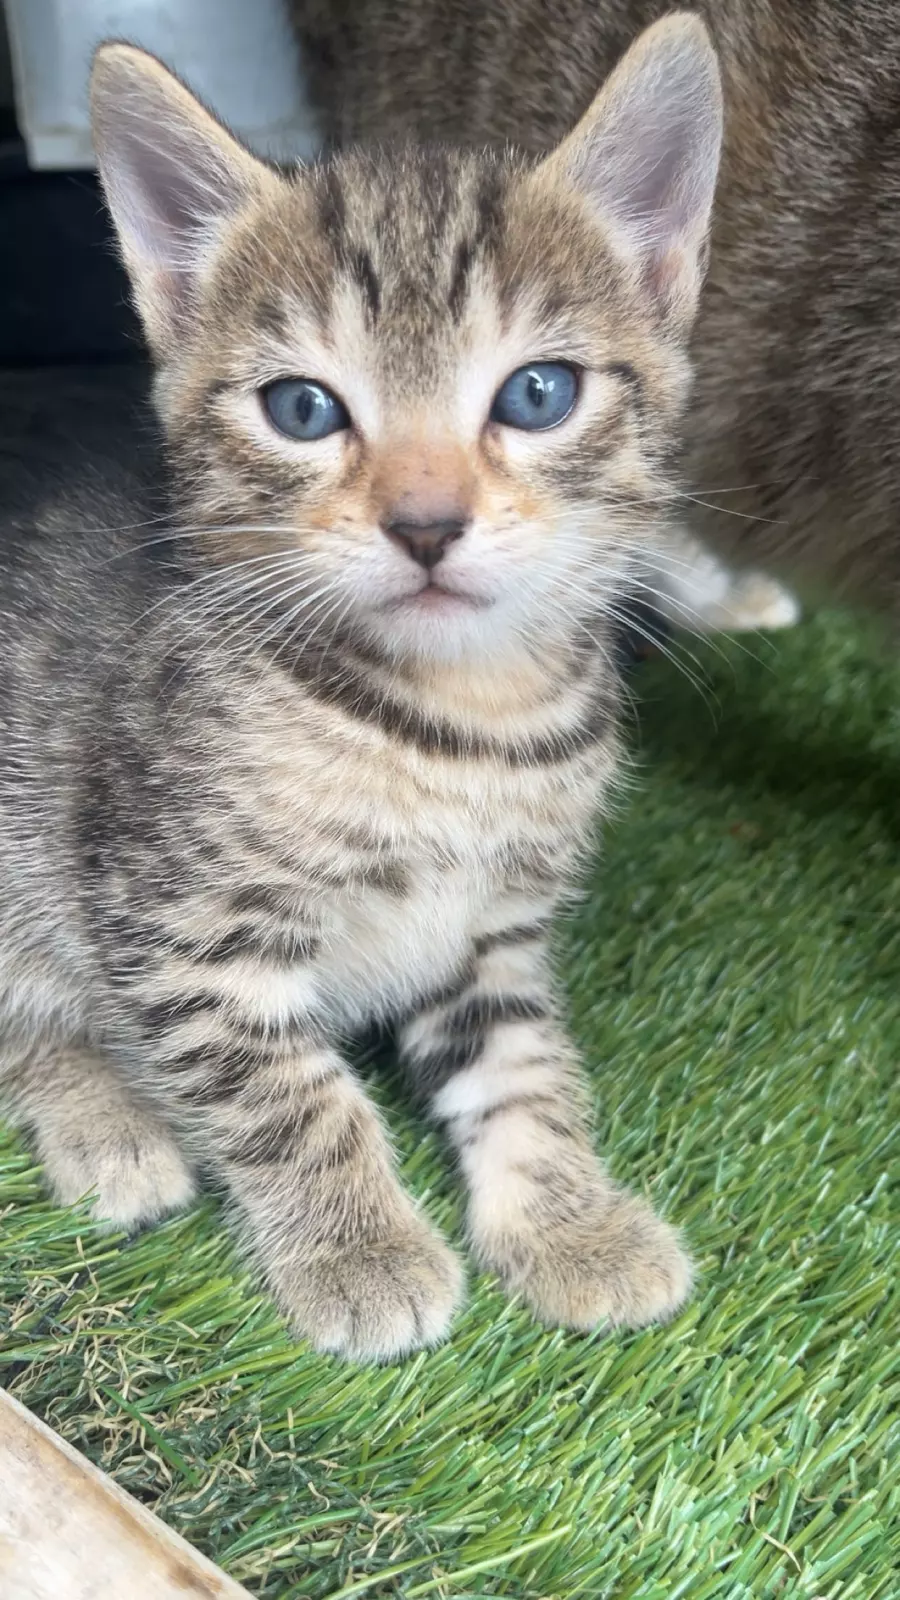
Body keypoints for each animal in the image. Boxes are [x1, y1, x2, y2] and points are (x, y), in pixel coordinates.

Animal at [0, 16, 719, 1361]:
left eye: (538, 393)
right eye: (302, 407)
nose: (425, 523)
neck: (465, 723)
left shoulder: (493, 933)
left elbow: (526, 1070)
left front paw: (571, 1221)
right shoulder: (178, 919)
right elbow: (290, 1090)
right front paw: (361, 1249)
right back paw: (106, 1122)